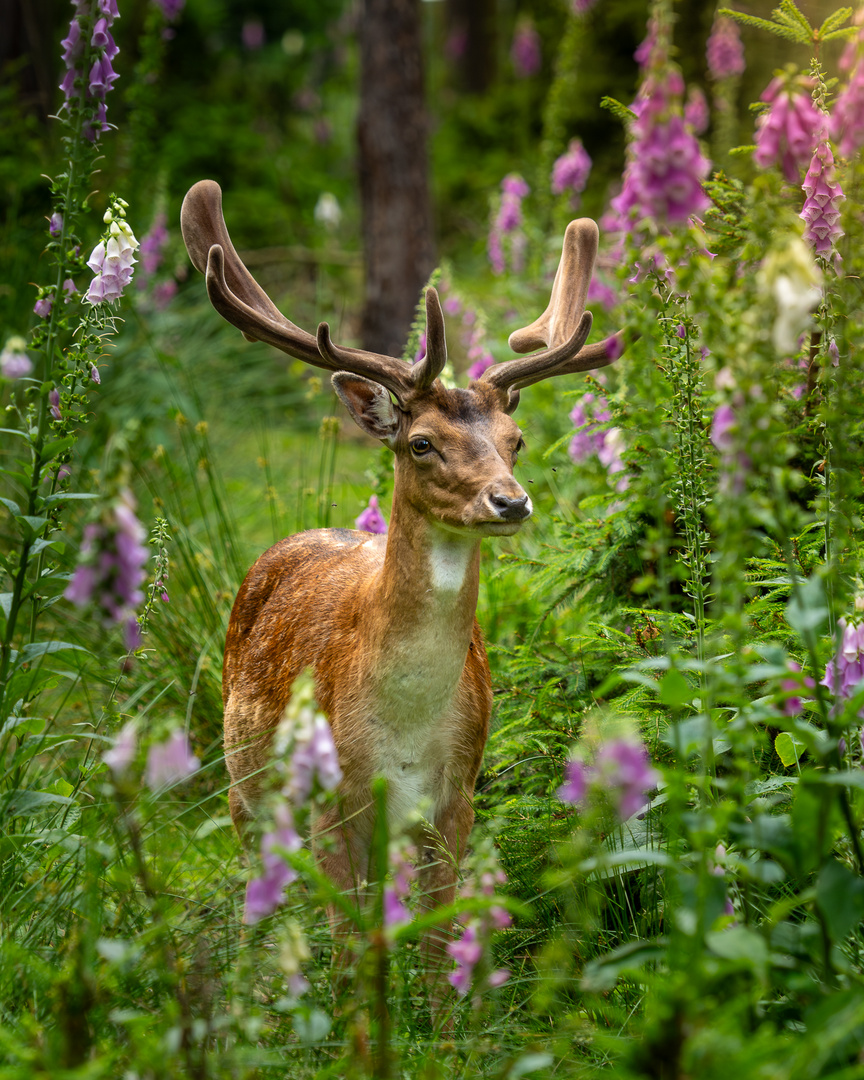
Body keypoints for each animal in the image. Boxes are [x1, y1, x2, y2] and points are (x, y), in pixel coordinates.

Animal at [180, 177, 622, 993]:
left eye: (514, 442)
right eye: (422, 443)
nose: (510, 501)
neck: (405, 732)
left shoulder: (457, 795)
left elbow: (437, 943)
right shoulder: (332, 801)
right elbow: (351, 952)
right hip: (240, 780)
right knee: (260, 898)